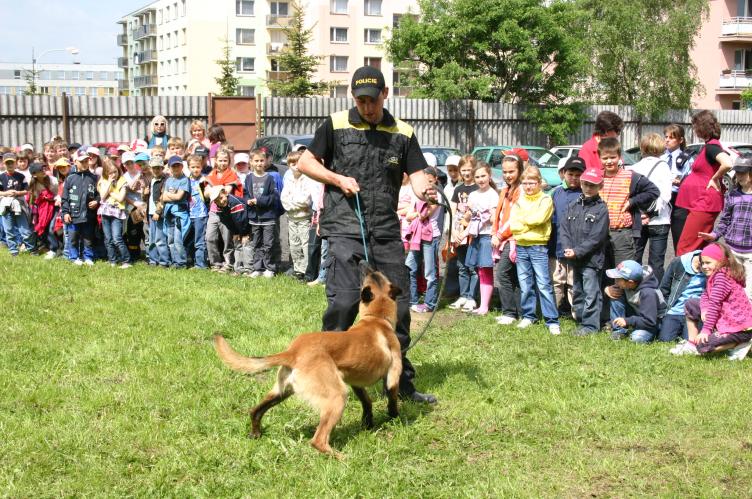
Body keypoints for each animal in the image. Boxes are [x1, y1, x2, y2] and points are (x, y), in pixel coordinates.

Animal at [214, 270, 402, 458]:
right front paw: (394, 417)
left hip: (283, 391)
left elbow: (367, 402)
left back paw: (255, 434)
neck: (376, 319)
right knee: (318, 440)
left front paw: (368, 423)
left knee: (255, 411)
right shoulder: (393, 375)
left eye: (373, 274)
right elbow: (391, 398)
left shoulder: (355, 382)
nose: (365, 266)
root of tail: (293, 351)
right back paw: (342, 457)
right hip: (337, 396)